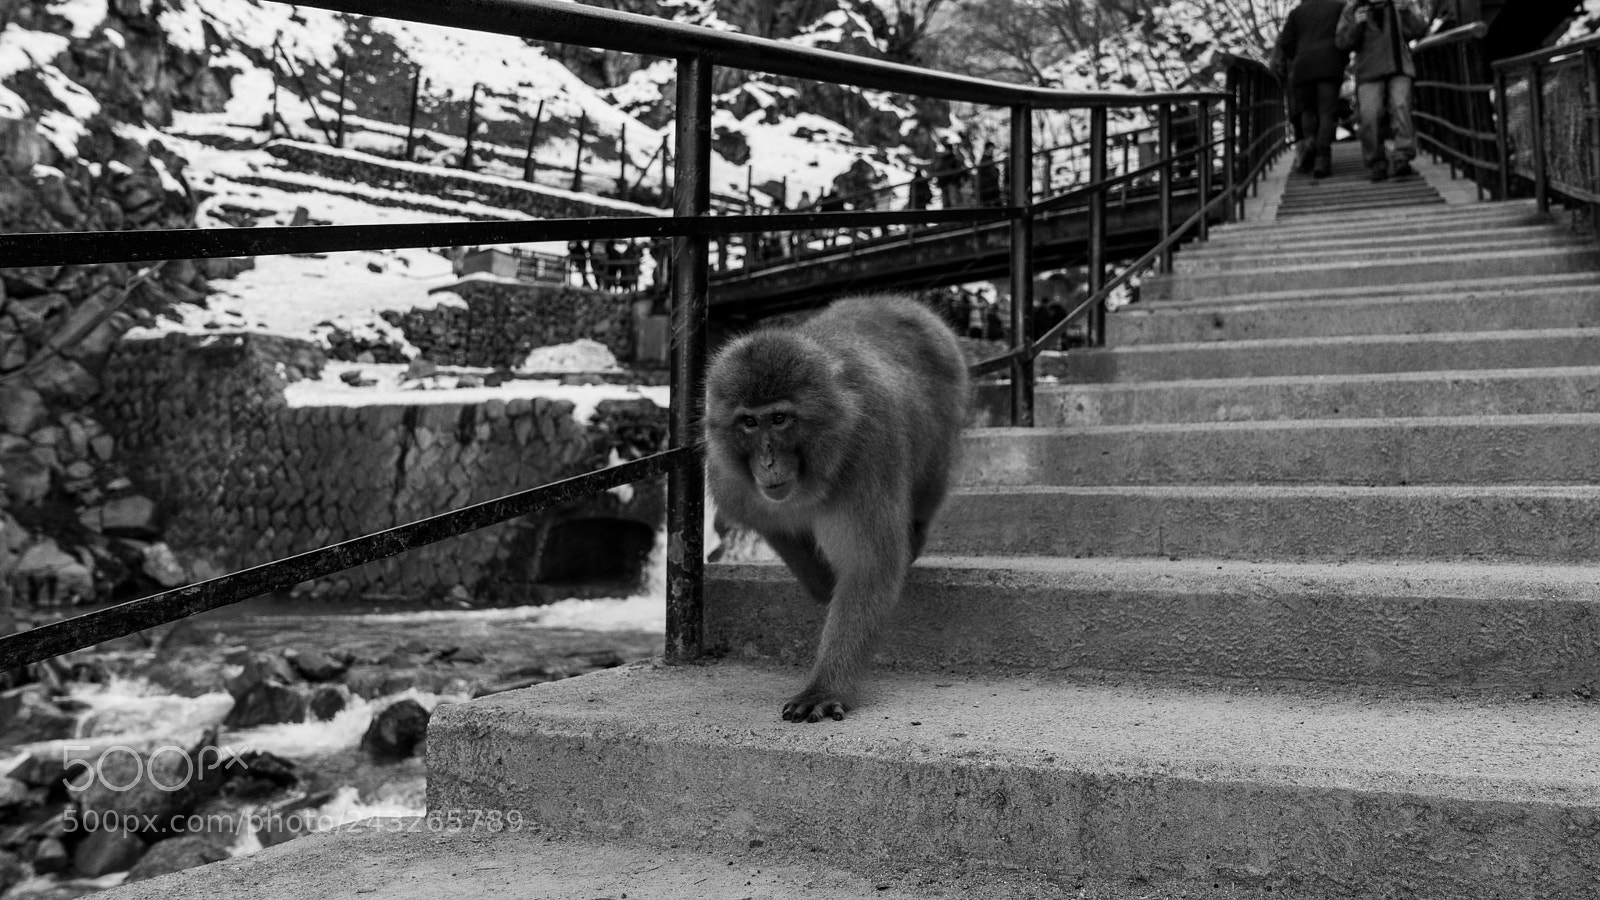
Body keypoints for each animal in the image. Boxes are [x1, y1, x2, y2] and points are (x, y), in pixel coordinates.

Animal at [704, 294, 970, 723]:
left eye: (779, 418)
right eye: (749, 422)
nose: (767, 461)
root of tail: (895, 301)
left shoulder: (868, 452)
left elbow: (868, 568)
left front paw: (826, 687)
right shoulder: (732, 481)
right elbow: (778, 527)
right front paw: (824, 585)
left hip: (945, 420)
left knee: (927, 486)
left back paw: (915, 537)